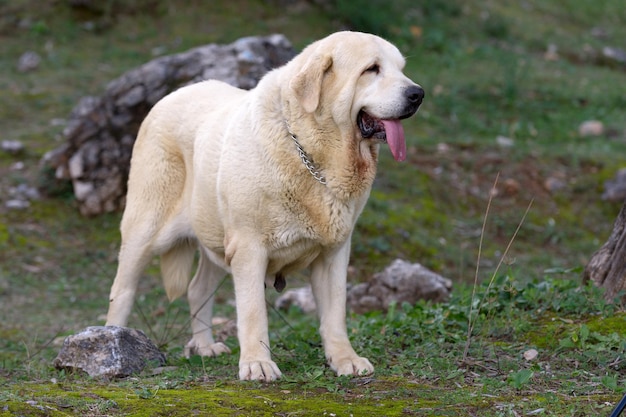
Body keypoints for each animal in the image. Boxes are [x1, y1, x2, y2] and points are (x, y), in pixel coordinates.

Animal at [105, 30, 422, 380]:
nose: (417, 94)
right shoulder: (249, 248)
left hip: (214, 238)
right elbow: (253, 311)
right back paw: (112, 341)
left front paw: (344, 359)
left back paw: (203, 346)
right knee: (122, 291)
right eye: (372, 69)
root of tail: (169, 96)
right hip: (145, 230)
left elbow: (335, 314)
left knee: (197, 288)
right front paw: (257, 363)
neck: (312, 154)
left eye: (401, 68)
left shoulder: (334, 253)